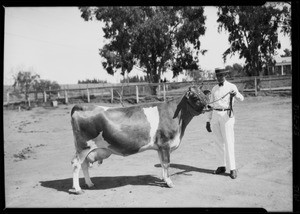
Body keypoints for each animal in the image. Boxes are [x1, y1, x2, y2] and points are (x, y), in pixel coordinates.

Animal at [69, 85, 210, 194]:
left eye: (204, 95)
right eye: (195, 97)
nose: (208, 106)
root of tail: (80, 106)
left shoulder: (160, 147)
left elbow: (162, 163)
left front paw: (164, 179)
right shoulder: (165, 144)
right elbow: (166, 163)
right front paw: (169, 183)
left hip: (87, 149)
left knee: (84, 165)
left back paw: (89, 183)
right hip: (83, 147)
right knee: (76, 164)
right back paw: (78, 189)